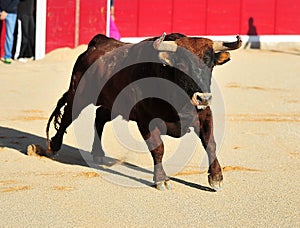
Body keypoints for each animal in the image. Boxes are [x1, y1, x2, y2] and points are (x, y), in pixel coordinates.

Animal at [44, 33, 241, 190]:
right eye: (181, 65)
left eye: (211, 64)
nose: (203, 98)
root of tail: (97, 43)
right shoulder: (146, 121)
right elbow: (158, 149)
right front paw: (162, 180)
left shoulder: (205, 115)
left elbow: (210, 143)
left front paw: (216, 178)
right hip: (79, 94)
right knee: (68, 117)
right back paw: (54, 146)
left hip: (114, 104)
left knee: (99, 117)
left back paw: (98, 154)